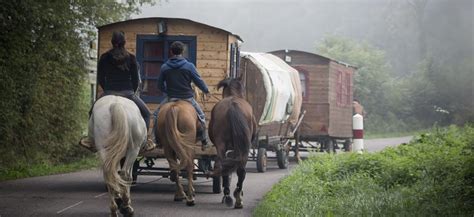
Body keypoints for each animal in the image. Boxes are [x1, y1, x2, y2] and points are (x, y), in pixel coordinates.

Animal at [209, 76, 258, 209]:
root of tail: (232, 105)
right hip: (244, 148)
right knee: (240, 170)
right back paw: (236, 197)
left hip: (223, 146)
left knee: (226, 167)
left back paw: (228, 196)